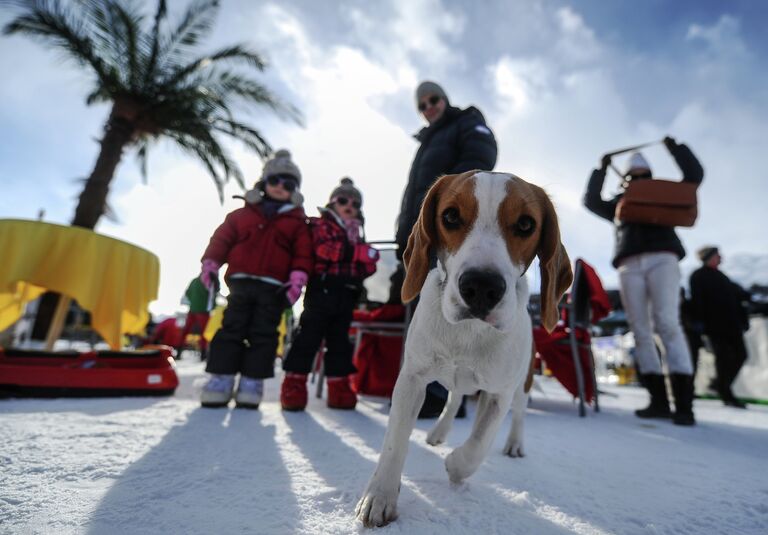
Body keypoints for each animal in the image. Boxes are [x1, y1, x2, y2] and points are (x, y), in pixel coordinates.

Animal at [354, 171, 568, 528]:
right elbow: (394, 444)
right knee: (454, 399)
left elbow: (479, 444)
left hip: (521, 382)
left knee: (517, 414)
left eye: (526, 224)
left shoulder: (500, 392)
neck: (469, 333)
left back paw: (513, 443)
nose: (481, 286)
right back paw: (439, 432)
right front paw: (379, 496)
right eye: (451, 216)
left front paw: (456, 465)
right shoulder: (412, 379)